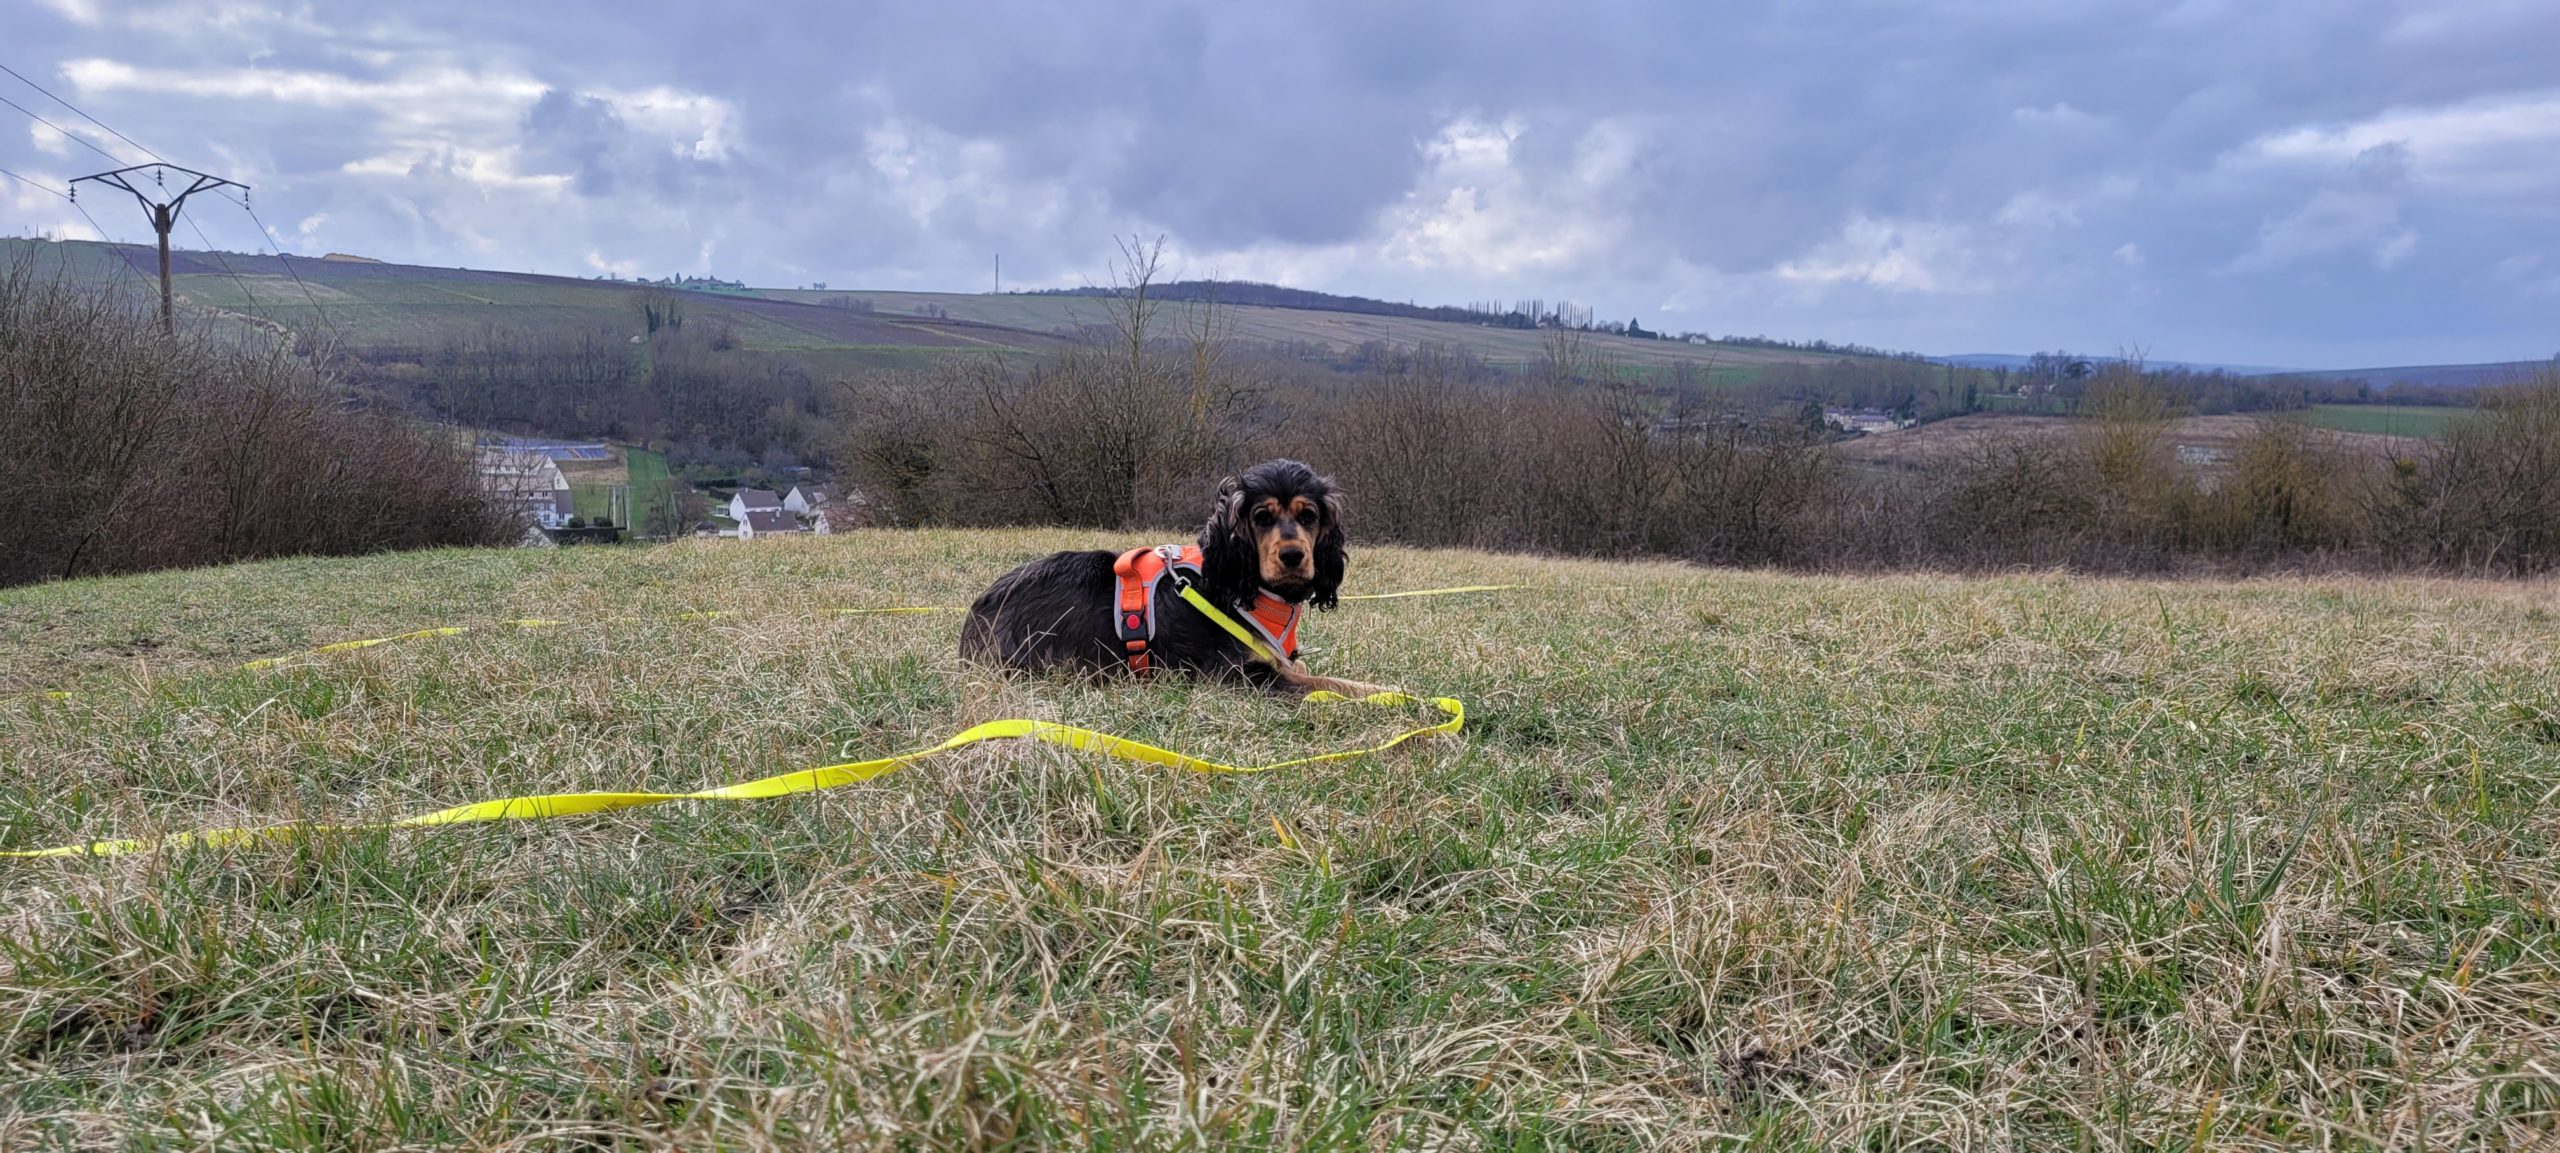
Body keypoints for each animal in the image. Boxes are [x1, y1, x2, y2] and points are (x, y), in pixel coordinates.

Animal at [962, 456, 1392, 691]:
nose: (1292, 554)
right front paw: (1391, 693)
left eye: (1309, 516)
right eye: (1261, 517)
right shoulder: (1237, 676)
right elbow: (1328, 685)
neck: (1241, 585)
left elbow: (1305, 670)